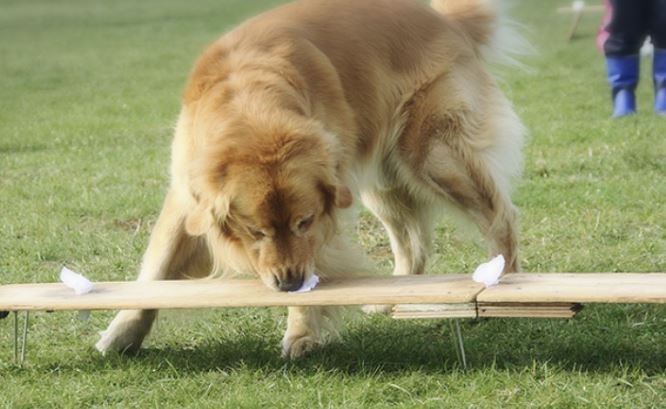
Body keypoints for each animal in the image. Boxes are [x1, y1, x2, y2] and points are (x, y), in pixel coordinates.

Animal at [97, 0, 524, 356]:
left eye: (303, 222)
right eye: (256, 231)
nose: (287, 284)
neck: (249, 104)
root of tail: (441, 18)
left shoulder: (322, 216)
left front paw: (301, 333)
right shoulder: (187, 198)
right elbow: (156, 271)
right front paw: (122, 333)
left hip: (433, 155)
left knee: (499, 216)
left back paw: (506, 288)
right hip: (384, 178)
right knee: (414, 244)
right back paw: (389, 297)